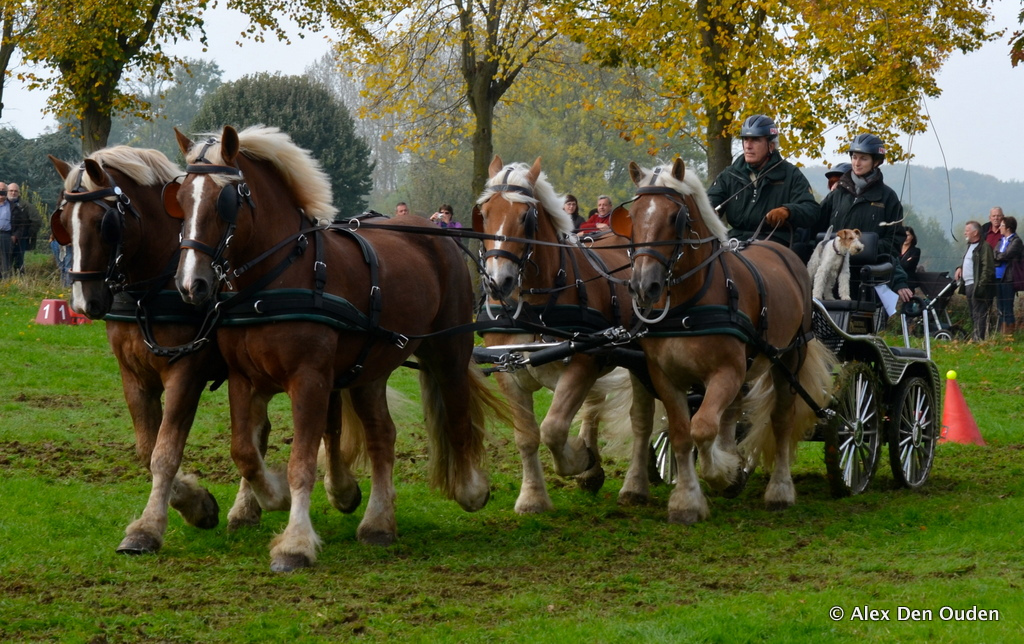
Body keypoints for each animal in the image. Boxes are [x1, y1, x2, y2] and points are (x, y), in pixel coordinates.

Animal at [47, 147, 272, 552]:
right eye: (63, 223)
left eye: (105, 223)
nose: (83, 302)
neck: (152, 291)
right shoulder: (134, 377)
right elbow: (146, 448)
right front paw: (198, 504)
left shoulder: (186, 374)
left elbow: (165, 452)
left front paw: (149, 527)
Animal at [167, 124, 495, 569]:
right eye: (181, 198)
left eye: (226, 200)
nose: (191, 284)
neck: (275, 279)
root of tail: (435, 232)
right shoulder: (243, 378)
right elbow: (245, 451)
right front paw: (270, 497)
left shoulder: (309, 380)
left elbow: (301, 462)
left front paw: (295, 542)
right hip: (369, 367)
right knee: (382, 435)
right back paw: (378, 523)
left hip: (449, 348)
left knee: (458, 411)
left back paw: (471, 489)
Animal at [473, 156, 651, 511]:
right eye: (483, 214)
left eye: (526, 216)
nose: (498, 282)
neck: (534, 307)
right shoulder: (507, 370)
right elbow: (526, 435)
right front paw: (533, 497)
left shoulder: (581, 364)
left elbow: (553, 429)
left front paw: (581, 458)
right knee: (594, 405)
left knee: (642, 420)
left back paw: (636, 485)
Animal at [606, 159, 831, 522]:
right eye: (634, 214)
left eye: (676, 216)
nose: (644, 286)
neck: (689, 301)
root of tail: (779, 248)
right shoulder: (665, 376)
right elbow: (682, 433)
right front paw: (688, 500)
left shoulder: (726, 371)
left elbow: (702, 427)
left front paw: (720, 474)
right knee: (733, 413)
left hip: (789, 358)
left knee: (781, 422)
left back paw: (779, 491)